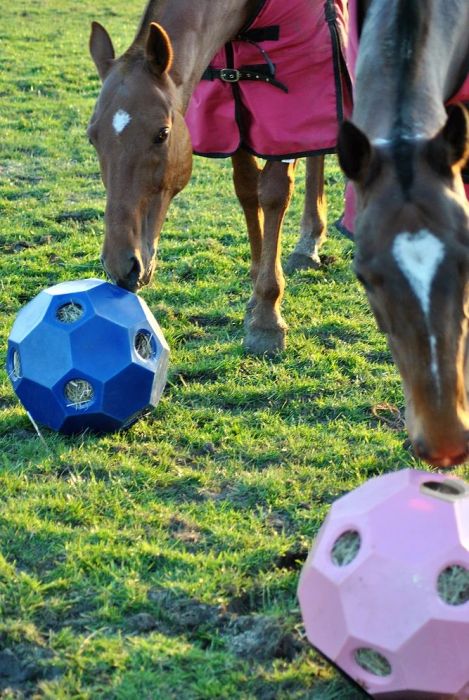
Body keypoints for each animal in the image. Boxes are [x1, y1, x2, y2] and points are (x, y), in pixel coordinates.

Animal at [86, 1, 330, 356]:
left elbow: (274, 193)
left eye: (162, 133)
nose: (121, 266)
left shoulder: (291, 97)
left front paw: (266, 316)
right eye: (92, 137)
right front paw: (255, 291)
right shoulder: (234, 101)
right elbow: (247, 187)